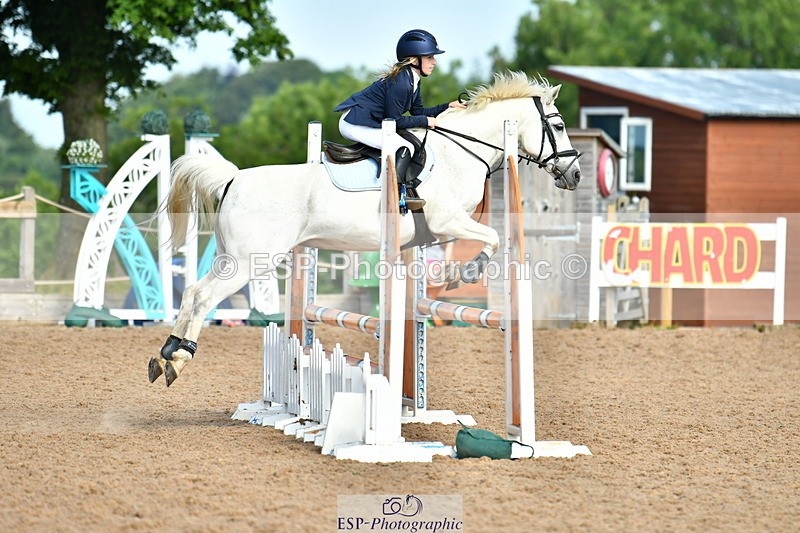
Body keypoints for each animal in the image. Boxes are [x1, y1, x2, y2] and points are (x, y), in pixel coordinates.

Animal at [149, 71, 581, 387]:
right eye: (559, 125)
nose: (574, 174)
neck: (461, 152)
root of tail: (234, 179)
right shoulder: (447, 221)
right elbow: (490, 239)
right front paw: (466, 274)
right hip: (249, 262)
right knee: (205, 297)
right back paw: (181, 357)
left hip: (230, 256)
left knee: (193, 291)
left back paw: (165, 355)